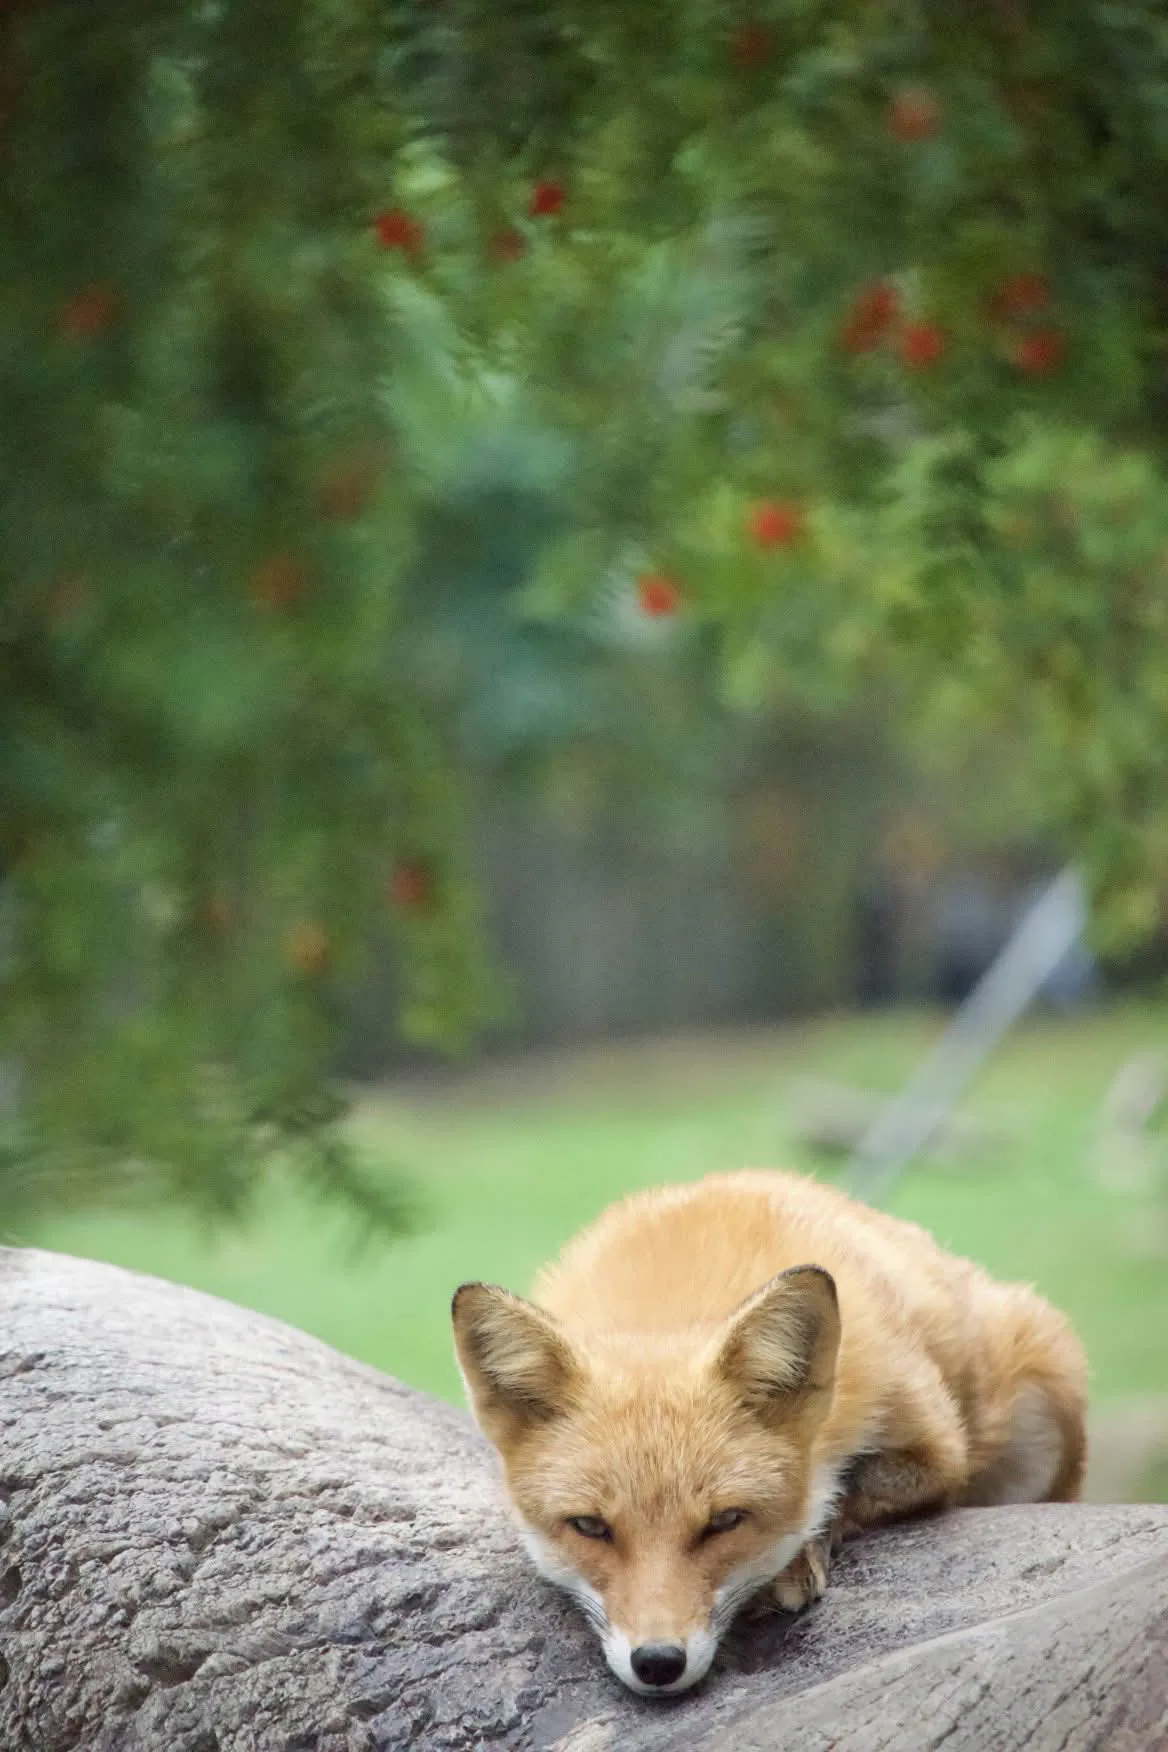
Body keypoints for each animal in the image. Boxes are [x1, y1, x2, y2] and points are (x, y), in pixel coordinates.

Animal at [451, 1169, 1087, 1697]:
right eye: (589, 1527)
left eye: (724, 1522)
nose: (658, 1663)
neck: (677, 1290)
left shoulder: (936, 1447)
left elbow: (850, 1487)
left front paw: (795, 1555)